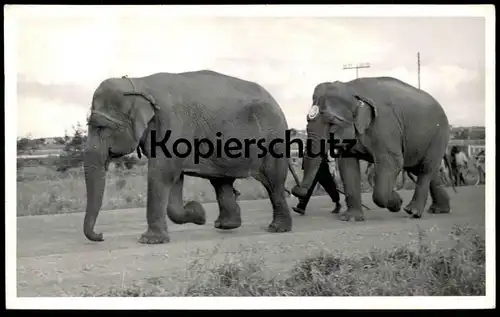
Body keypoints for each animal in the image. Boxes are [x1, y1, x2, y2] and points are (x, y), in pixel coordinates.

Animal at [84, 69, 298, 242]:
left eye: (102, 128)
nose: (101, 236)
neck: (139, 83)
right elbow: (174, 179)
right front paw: (198, 215)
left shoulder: (173, 124)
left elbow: (161, 174)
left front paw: (150, 240)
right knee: (221, 182)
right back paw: (225, 226)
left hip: (273, 138)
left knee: (273, 182)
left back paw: (277, 229)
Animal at [292, 75, 454, 221]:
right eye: (307, 121)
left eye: (332, 122)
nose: (297, 190)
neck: (351, 88)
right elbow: (347, 166)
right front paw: (351, 218)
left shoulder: (386, 126)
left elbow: (392, 162)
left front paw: (397, 202)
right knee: (424, 169)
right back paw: (440, 210)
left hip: (439, 135)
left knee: (426, 168)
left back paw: (412, 211)